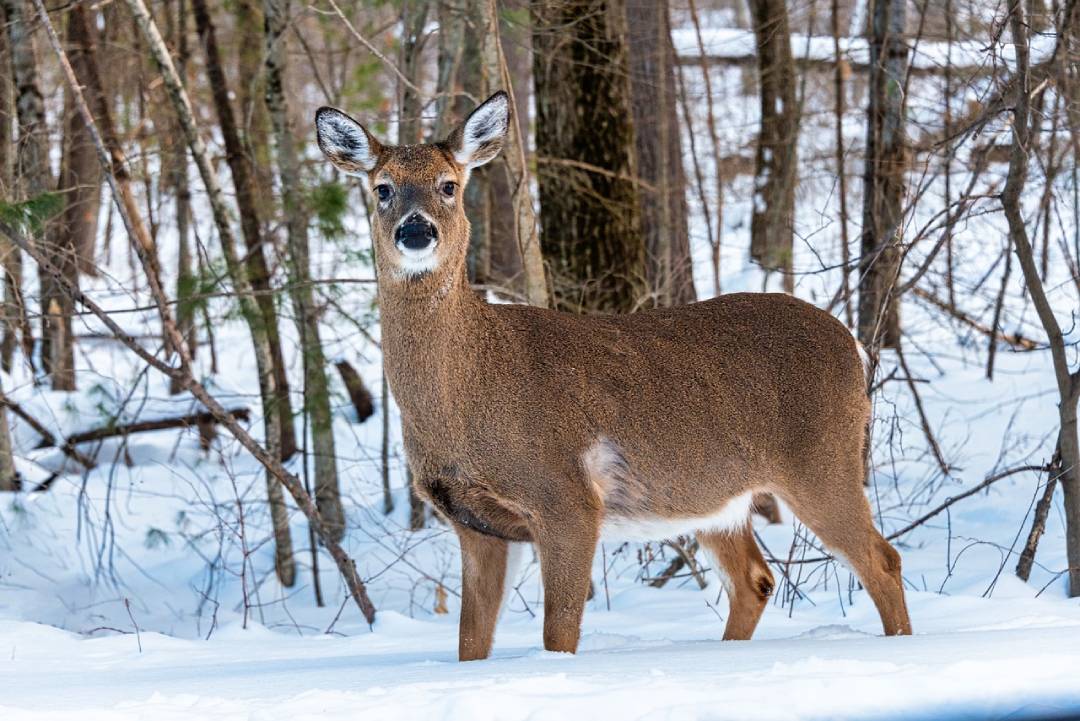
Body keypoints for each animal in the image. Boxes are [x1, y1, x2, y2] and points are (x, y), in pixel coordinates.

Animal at [315, 92, 911, 660]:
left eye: (449, 185)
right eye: (383, 189)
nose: (417, 230)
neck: (466, 394)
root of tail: (853, 345)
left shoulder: (567, 497)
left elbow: (558, 634)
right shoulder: (476, 525)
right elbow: (469, 645)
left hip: (822, 461)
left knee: (882, 560)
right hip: (720, 500)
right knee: (756, 580)